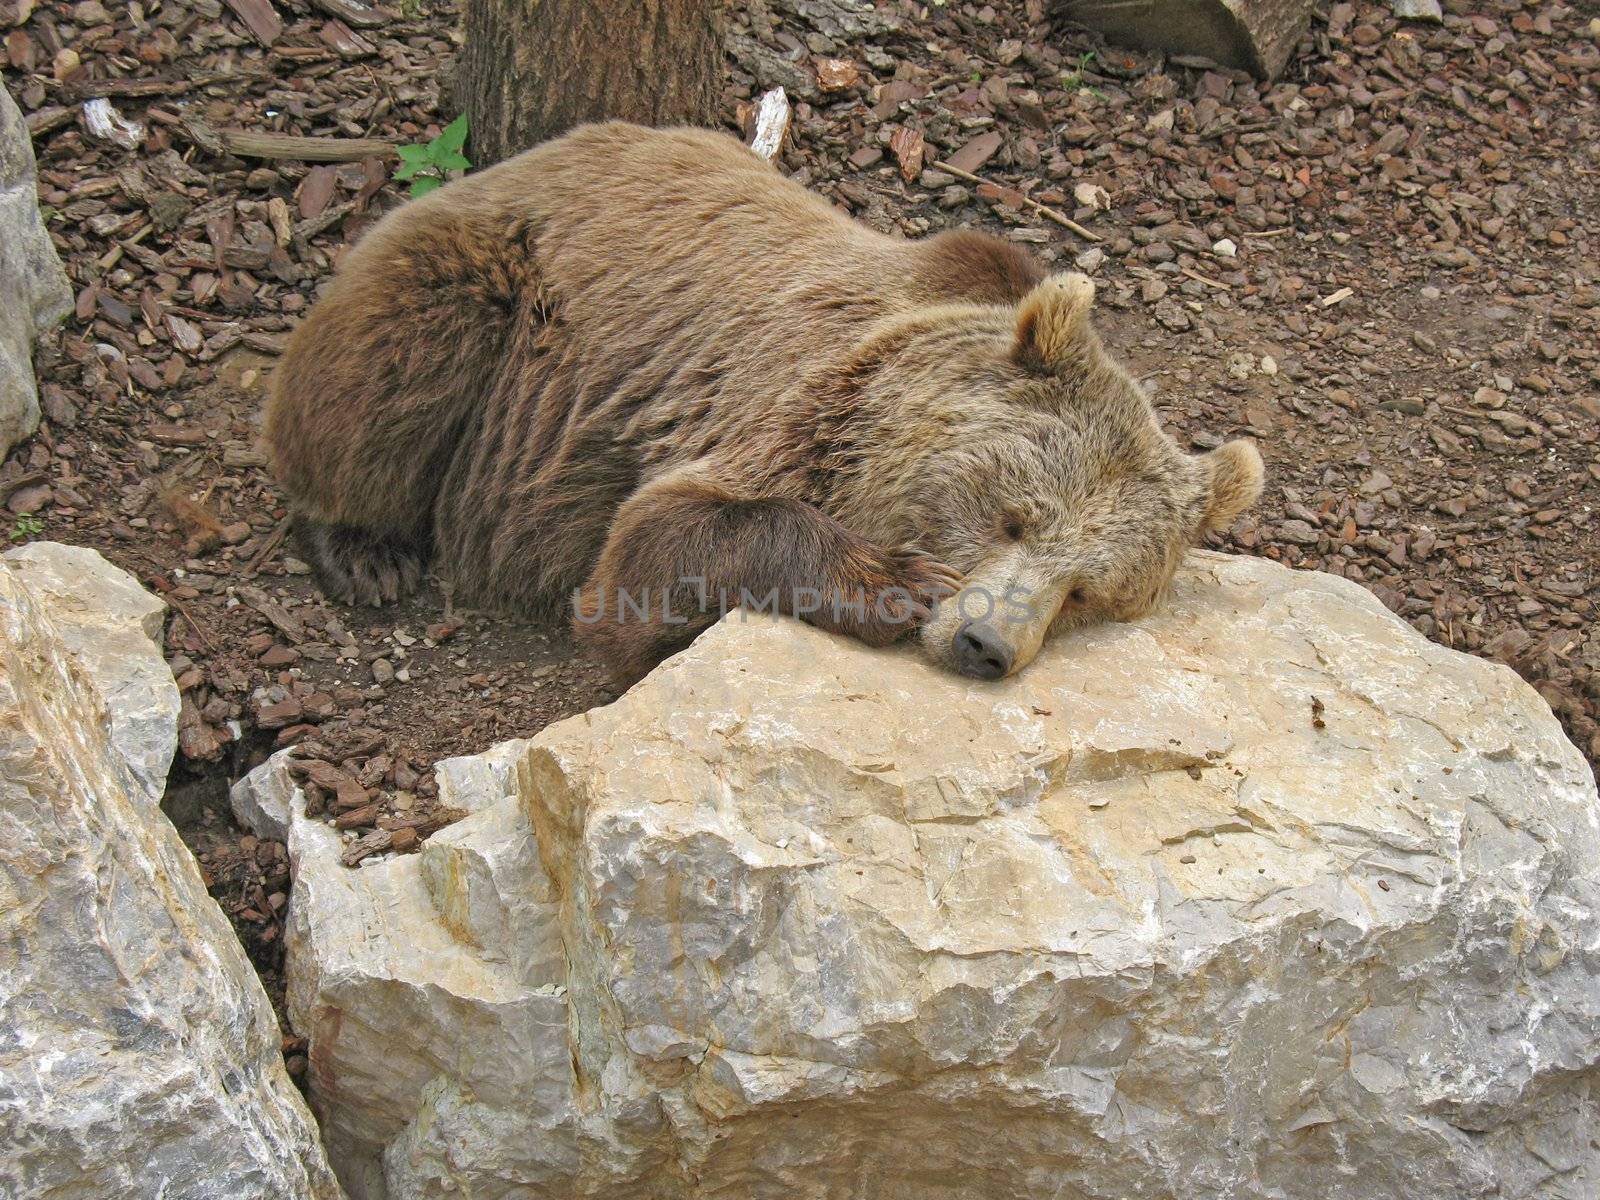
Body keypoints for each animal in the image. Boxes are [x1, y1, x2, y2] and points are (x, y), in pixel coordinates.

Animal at [265, 124, 1260, 684]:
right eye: (1013, 516)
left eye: (1090, 590)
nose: (987, 645)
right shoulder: (792, 404)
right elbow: (654, 548)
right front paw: (893, 580)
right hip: (484, 284)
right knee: (386, 373)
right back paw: (365, 550)